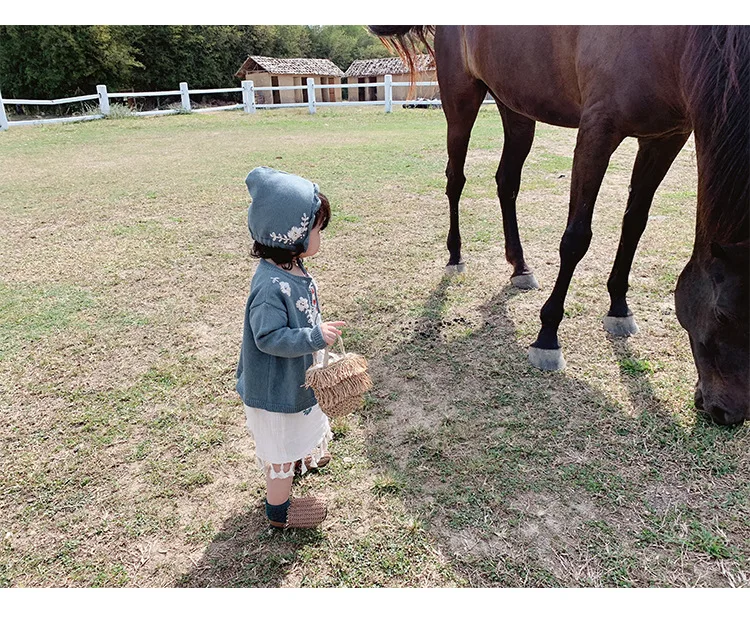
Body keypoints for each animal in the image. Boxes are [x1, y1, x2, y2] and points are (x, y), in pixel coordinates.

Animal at [372, 26, 750, 422]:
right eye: (722, 314)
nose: (728, 412)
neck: (674, 44)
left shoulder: (665, 137)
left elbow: (634, 224)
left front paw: (618, 306)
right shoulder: (597, 130)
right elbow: (576, 238)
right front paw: (548, 335)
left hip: (515, 107)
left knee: (506, 182)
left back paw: (520, 267)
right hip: (461, 100)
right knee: (455, 179)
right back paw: (455, 255)